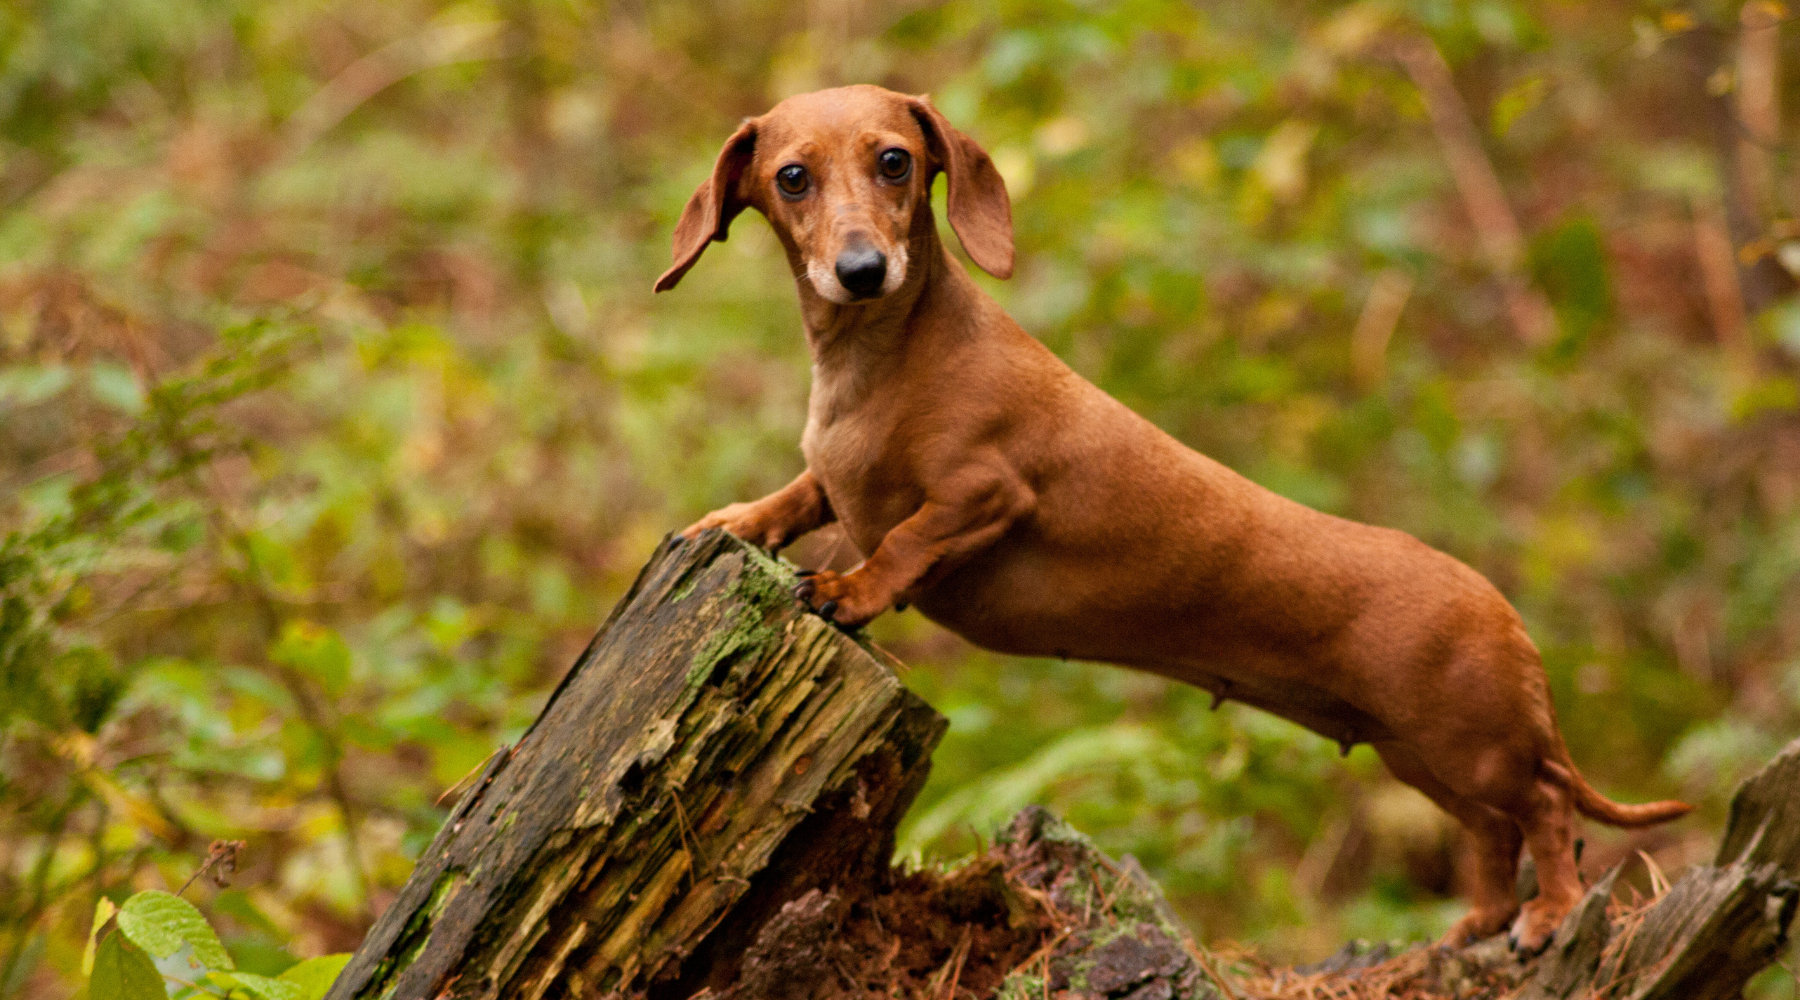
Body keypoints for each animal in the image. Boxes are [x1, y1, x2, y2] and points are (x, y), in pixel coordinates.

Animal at [658, 85, 1684, 949]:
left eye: (895, 160)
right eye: (792, 176)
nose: (862, 269)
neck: (881, 361)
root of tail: (1505, 612)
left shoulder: (984, 494)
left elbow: (904, 540)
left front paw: (851, 590)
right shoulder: (836, 479)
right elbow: (801, 495)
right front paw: (733, 523)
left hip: (1474, 747)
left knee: (1547, 810)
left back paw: (1546, 915)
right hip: (1420, 757)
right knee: (1493, 832)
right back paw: (1479, 919)